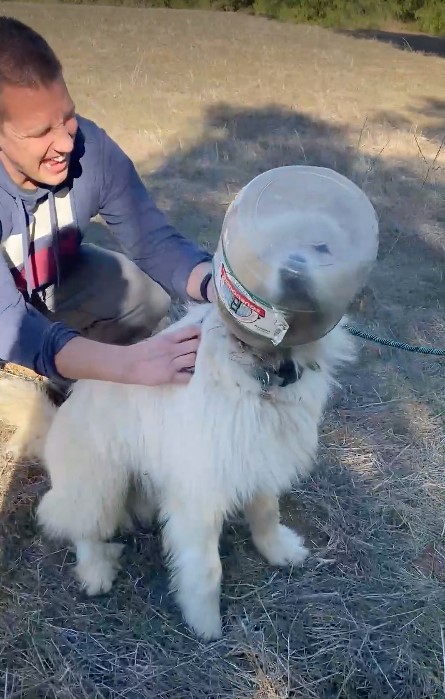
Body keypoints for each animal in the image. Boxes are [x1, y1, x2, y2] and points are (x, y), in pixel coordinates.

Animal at [0, 300, 354, 640]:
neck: (261, 374)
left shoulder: (258, 461)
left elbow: (267, 515)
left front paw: (279, 551)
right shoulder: (199, 498)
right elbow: (206, 569)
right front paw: (205, 623)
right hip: (101, 483)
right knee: (81, 527)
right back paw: (96, 571)